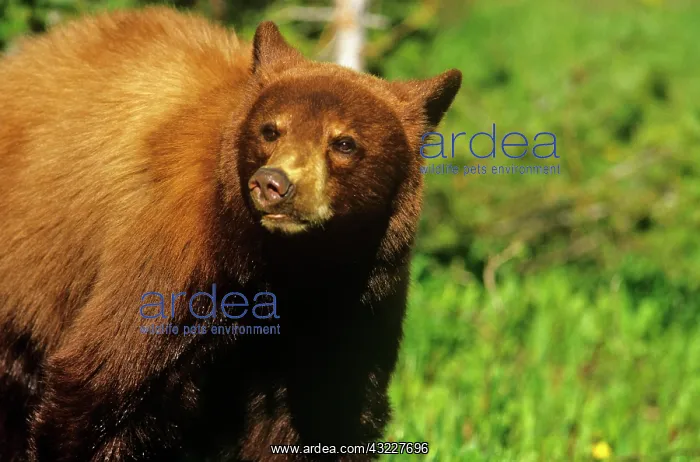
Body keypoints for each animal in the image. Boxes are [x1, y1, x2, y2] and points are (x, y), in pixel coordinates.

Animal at [0, 6, 461, 461]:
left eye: (344, 142)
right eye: (271, 130)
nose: (273, 184)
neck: (286, 268)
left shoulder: (360, 298)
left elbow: (330, 415)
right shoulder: (176, 255)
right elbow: (102, 384)